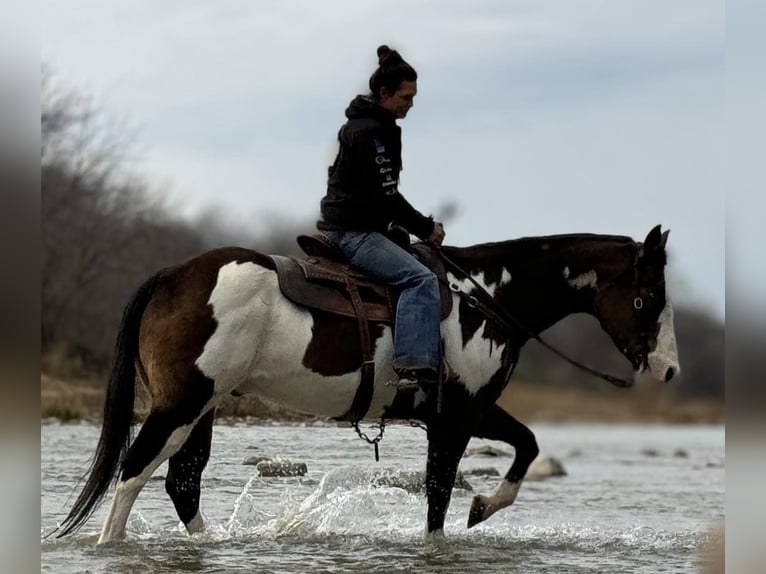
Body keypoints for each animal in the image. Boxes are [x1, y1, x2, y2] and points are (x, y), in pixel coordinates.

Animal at [61, 225, 684, 544]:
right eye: (648, 297)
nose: (670, 371)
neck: (486, 296)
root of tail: (171, 274)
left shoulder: (471, 411)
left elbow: (526, 446)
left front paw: (483, 506)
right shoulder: (456, 420)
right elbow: (437, 501)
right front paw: (468, 516)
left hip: (203, 408)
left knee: (181, 484)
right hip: (180, 405)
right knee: (132, 475)